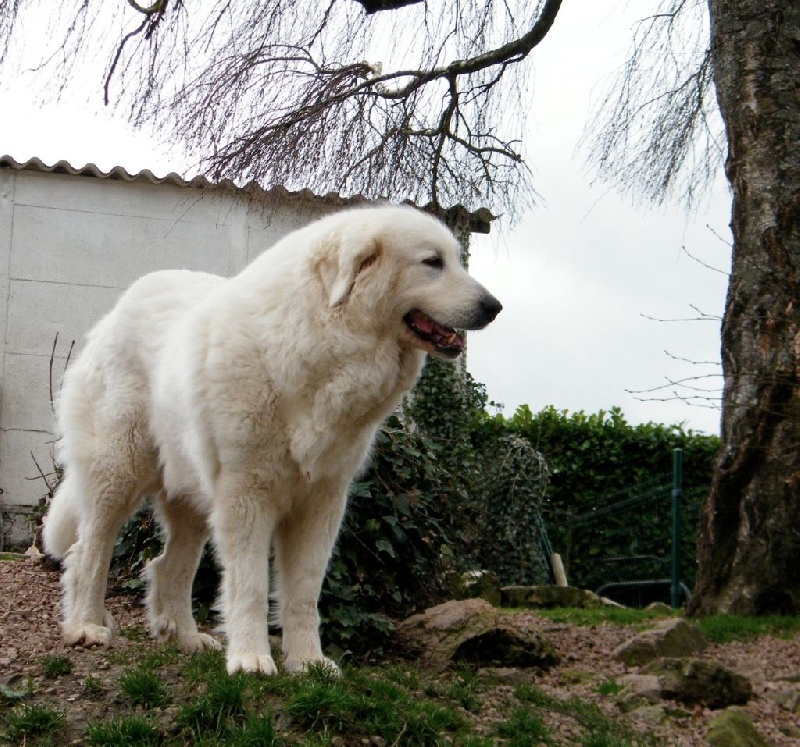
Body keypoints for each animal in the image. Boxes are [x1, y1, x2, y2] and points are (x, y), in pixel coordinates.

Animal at [43, 206, 500, 676]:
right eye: (432, 262)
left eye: (456, 259)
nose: (494, 307)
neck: (319, 339)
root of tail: (119, 308)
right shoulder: (247, 495)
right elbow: (250, 587)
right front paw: (250, 659)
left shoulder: (322, 501)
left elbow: (304, 591)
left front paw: (308, 663)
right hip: (118, 470)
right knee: (89, 551)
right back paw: (86, 626)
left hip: (191, 498)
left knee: (169, 566)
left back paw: (186, 637)